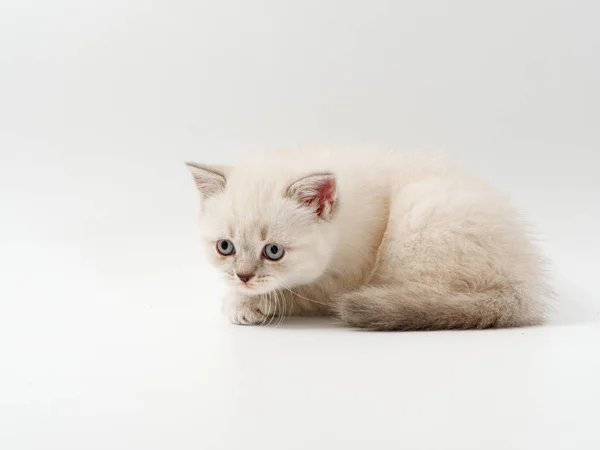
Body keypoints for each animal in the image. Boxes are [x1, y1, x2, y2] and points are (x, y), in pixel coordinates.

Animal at [186, 149, 548, 328]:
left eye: (273, 251)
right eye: (225, 247)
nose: (243, 277)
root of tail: (523, 280)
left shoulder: (335, 283)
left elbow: (291, 292)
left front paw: (243, 303)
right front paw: (240, 297)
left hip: (417, 214)